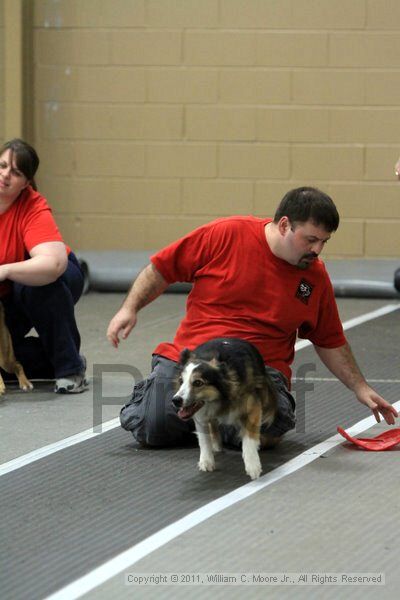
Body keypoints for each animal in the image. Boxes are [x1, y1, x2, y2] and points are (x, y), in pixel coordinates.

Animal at [173, 340, 276, 480]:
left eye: (198, 383)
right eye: (181, 381)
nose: (175, 400)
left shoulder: (253, 406)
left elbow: (249, 437)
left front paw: (253, 466)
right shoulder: (200, 415)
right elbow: (204, 438)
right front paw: (206, 461)